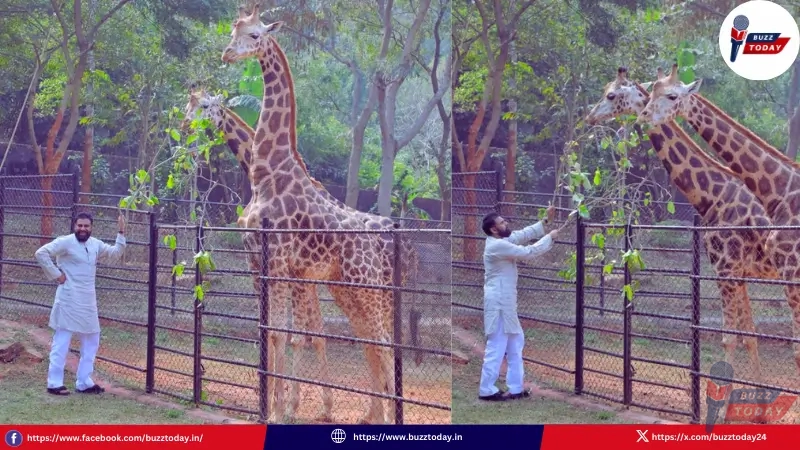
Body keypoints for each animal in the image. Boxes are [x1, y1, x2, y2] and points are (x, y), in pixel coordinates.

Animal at [219, 3, 415, 424]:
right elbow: (270, 332)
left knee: (383, 343)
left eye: (255, 35)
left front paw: (279, 412)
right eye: (233, 31)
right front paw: (269, 409)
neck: (267, 172)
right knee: (371, 342)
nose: (227, 54)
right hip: (348, 290)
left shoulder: (278, 260)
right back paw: (374, 415)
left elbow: (282, 334)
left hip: (367, 286)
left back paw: (388, 416)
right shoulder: (262, 260)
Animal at [586, 67, 780, 382]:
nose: (590, 116)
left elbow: (729, 338)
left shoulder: (726, 268)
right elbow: (750, 336)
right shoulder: (739, 273)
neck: (713, 195)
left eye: (611, 95)